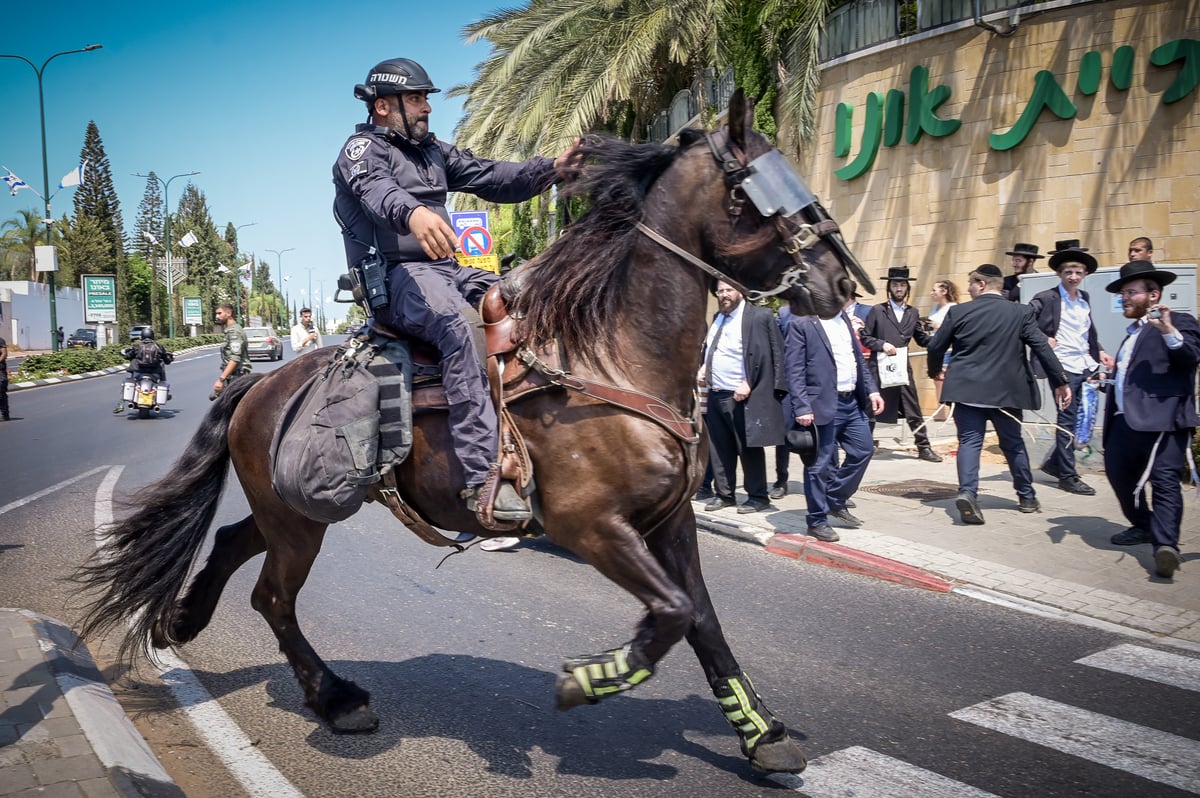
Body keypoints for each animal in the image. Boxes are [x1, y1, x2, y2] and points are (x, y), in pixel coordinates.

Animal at [75, 93, 868, 772]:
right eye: (751, 190)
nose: (842, 283)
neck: (609, 353)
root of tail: (259, 382)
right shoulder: (590, 525)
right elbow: (670, 614)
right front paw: (594, 677)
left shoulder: (670, 520)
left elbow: (701, 619)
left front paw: (760, 732)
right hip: (300, 522)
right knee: (273, 598)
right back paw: (335, 699)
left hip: (291, 512)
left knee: (233, 544)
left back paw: (185, 620)